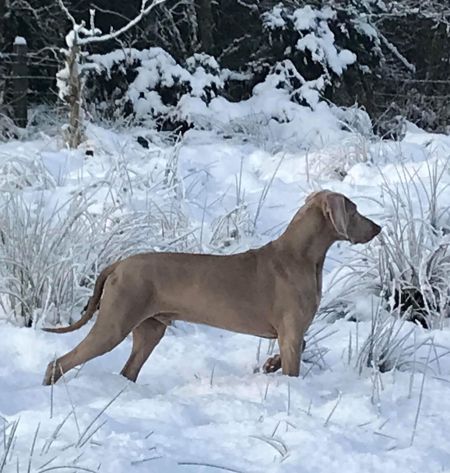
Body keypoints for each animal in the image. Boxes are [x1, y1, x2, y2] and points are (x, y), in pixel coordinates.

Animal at [41, 190, 380, 386]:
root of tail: (117, 265)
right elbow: (295, 363)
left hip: (151, 329)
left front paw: (269, 364)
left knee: (129, 370)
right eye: (354, 210)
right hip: (114, 323)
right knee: (60, 362)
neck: (300, 256)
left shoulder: (291, 334)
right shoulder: (291, 331)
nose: (378, 227)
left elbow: (298, 349)